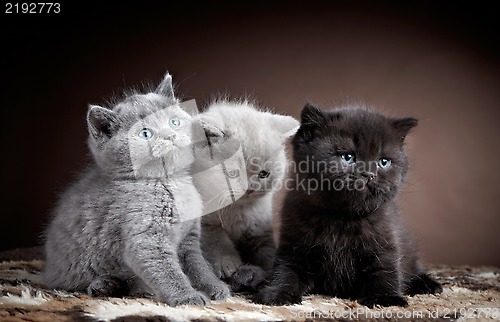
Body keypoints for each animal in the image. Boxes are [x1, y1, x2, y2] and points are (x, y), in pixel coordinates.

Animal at [43, 74, 230, 306]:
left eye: (174, 122)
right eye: (145, 134)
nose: (169, 136)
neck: (169, 182)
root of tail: (48, 271)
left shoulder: (189, 238)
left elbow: (198, 265)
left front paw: (213, 287)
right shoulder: (145, 238)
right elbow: (167, 271)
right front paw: (188, 297)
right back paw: (104, 284)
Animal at [192, 100, 298, 292]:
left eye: (264, 174)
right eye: (233, 173)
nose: (250, 188)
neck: (234, 210)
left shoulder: (260, 227)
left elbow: (266, 251)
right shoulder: (205, 222)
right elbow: (216, 240)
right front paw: (228, 264)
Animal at [256, 104, 444, 308]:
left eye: (384, 162)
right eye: (347, 157)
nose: (368, 174)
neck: (341, 217)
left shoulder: (385, 239)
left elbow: (384, 269)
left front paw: (386, 299)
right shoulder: (294, 244)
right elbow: (286, 270)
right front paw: (277, 293)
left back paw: (428, 284)